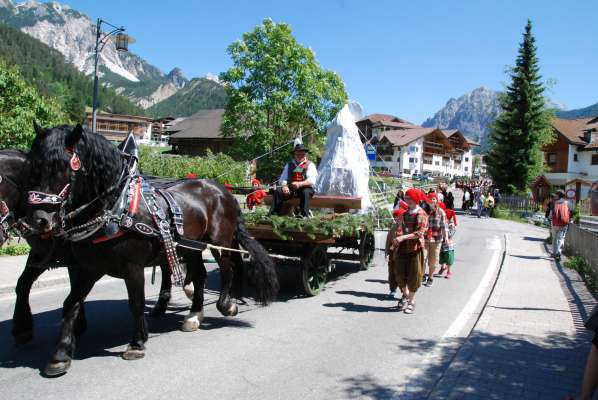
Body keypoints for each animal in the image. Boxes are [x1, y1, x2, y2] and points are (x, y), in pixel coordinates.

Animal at [21, 124, 278, 376]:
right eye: (33, 167)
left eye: (63, 167)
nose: (39, 220)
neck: (115, 206)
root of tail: (223, 191)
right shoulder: (89, 268)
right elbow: (71, 304)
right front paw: (60, 355)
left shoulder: (132, 267)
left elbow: (135, 303)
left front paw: (136, 343)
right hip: (192, 247)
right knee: (201, 275)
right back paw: (194, 315)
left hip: (220, 242)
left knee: (228, 269)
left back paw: (227, 304)